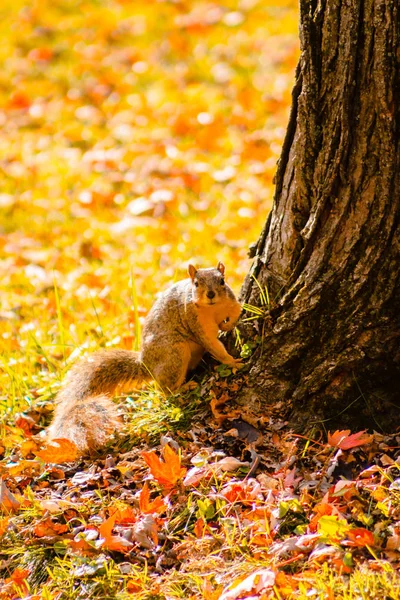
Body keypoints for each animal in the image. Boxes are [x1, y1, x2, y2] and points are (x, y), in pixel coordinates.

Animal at [47, 262, 241, 454]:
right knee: (166, 389)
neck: (212, 308)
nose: (211, 294)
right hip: (175, 353)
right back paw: (182, 388)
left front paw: (227, 325)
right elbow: (213, 345)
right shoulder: (196, 323)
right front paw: (232, 362)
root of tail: (145, 362)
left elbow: (237, 312)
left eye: (222, 281)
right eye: (196, 283)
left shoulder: (231, 302)